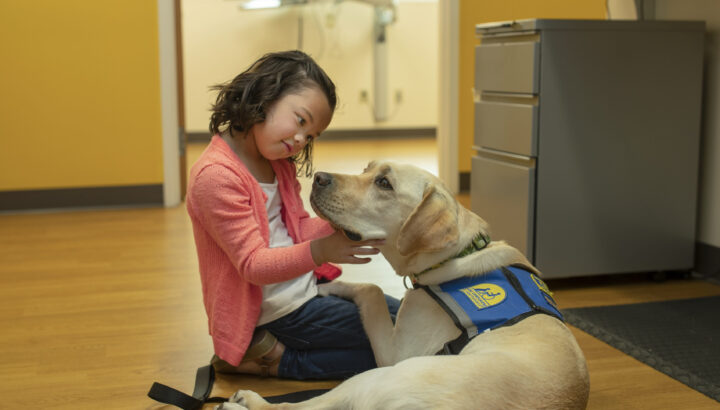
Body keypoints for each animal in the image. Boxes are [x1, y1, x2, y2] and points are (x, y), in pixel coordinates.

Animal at [221, 162, 592, 408]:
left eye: (384, 183)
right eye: (367, 169)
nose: (320, 178)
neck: (456, 255)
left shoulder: (395, 350)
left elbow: (370, 289)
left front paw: (326, 286)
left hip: (385, 374)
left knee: (297, 406)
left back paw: (245, 399)